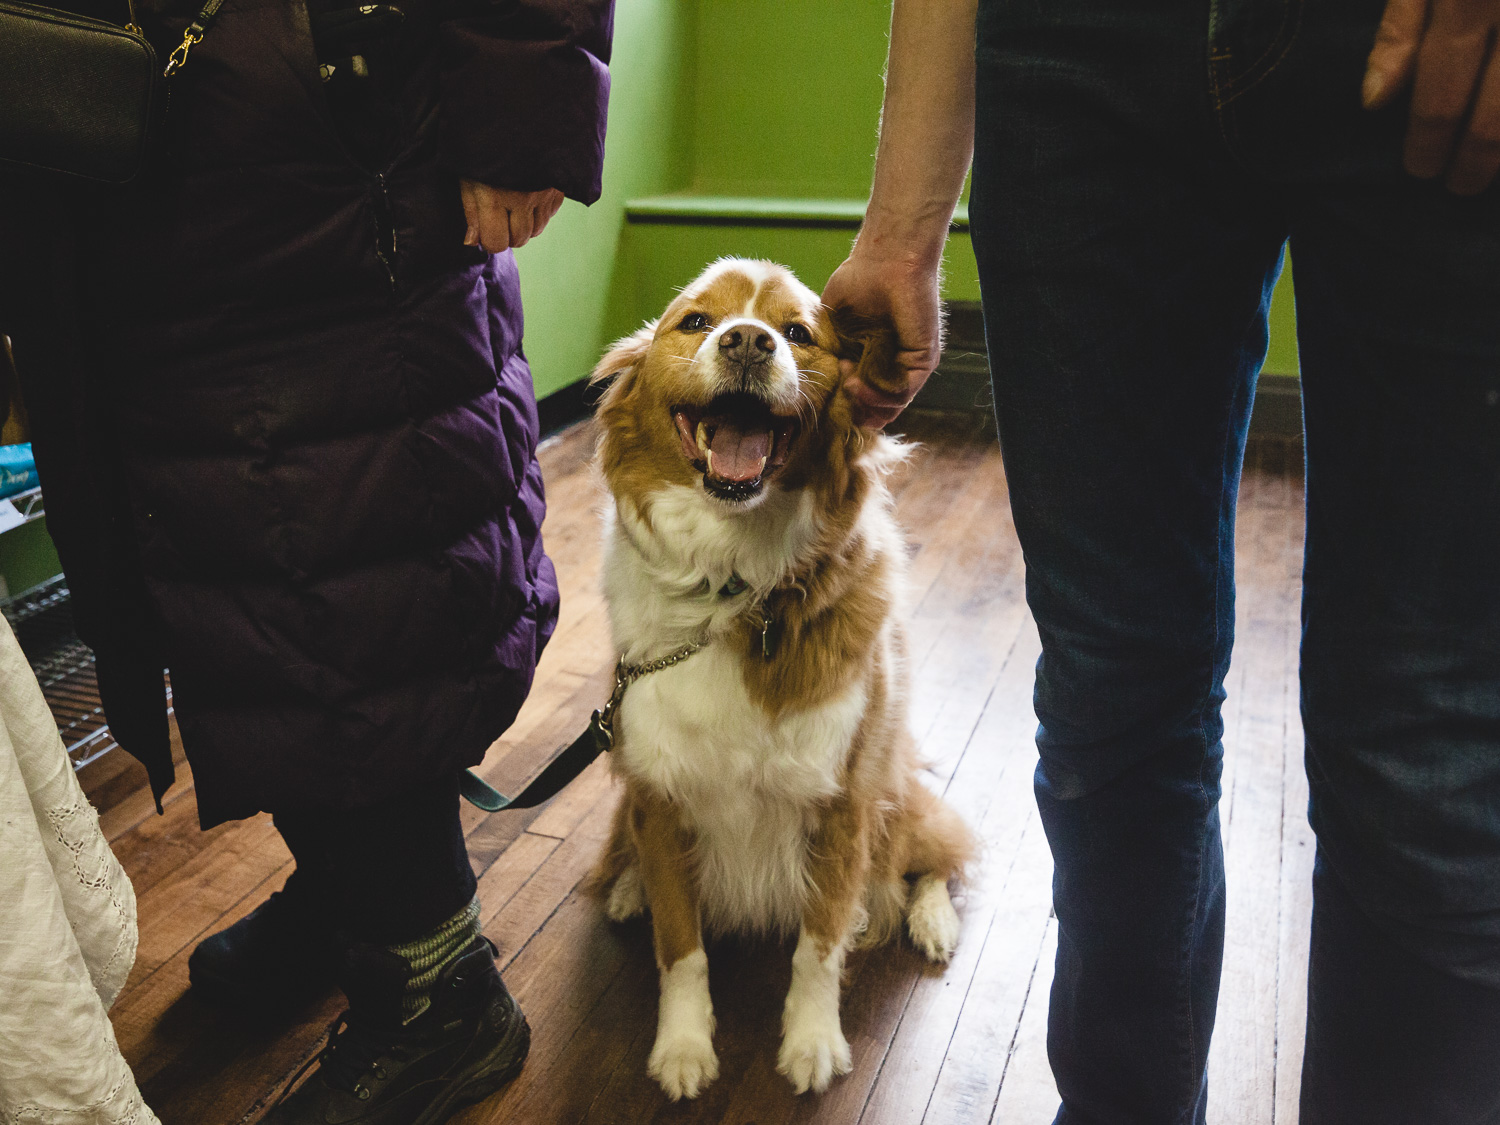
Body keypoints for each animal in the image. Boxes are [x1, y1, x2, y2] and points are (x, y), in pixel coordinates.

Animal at [585, 262, 972, 1104]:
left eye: (798, 333)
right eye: (695, 322)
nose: (747, 342)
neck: (734, 583)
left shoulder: (843, 800)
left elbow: (818, 945)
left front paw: (813, 1042)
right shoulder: (661, 791)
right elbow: (680, 945)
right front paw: (683, 1046)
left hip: (898, 786)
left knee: (938, 854)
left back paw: (930, 921)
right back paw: (627, 887)